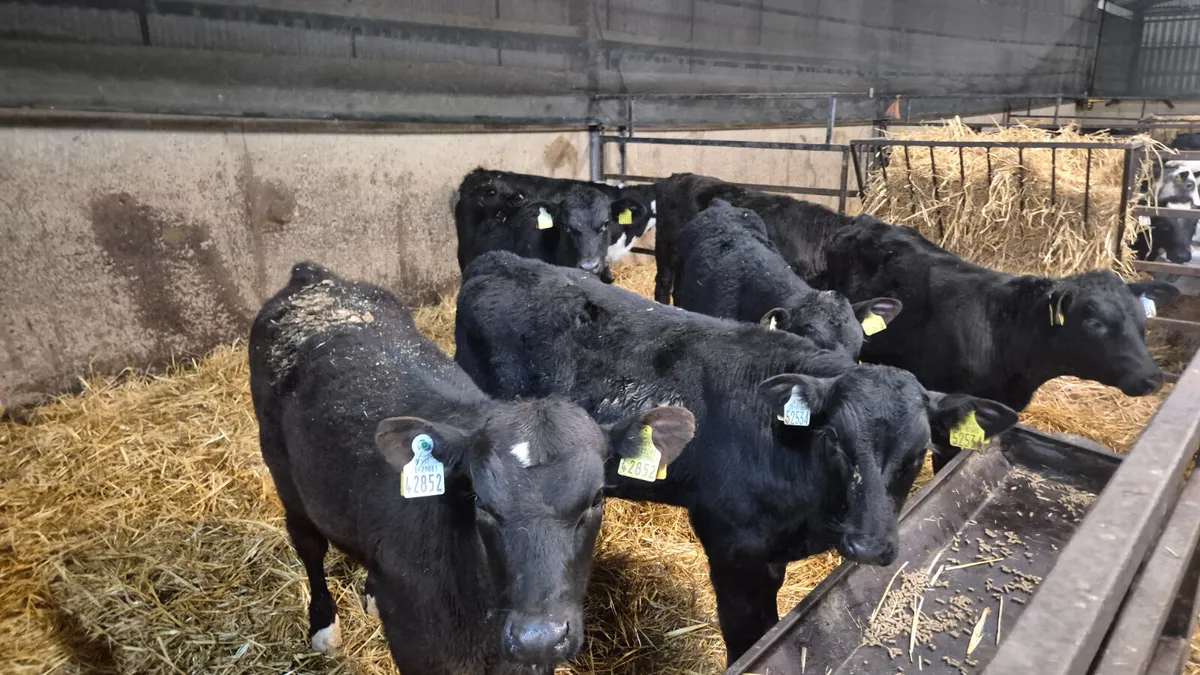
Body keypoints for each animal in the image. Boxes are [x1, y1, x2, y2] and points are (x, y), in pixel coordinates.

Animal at [249, 261, 694, 674]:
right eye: (481, 501)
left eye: (596, 497)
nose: (538, 637)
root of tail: (315, 278)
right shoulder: (418, 649)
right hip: (284, 474)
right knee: (308, 542)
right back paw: (322, 623)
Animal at [454, 251, 1019, 665]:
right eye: (836, 439)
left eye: (920, 451)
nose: (869, 544)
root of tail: (498, 260)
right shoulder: (733, 547)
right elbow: (750, 638)